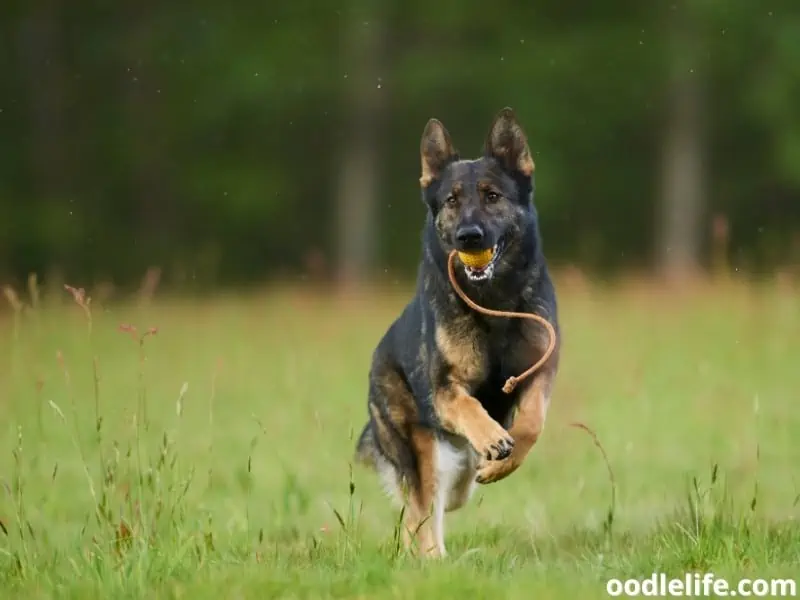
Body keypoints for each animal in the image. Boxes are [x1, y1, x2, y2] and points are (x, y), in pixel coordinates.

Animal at [354, 106, 560, 556]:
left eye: (492, 196)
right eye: (451, 201)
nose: (469, 236)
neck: (494, 303)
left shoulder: (540, 371)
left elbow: (532, 422)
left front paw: (504, 459)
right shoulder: (444, 388)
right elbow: (467, 405)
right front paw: (492, 438)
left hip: (457, 471)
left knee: (443, 501)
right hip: (423, 448)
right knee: (422, 511)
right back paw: (432, 559)